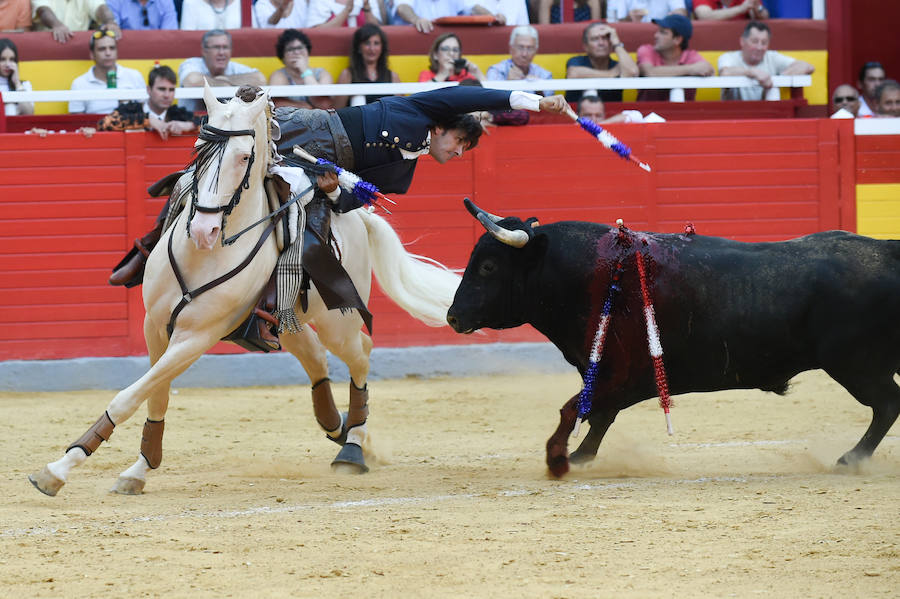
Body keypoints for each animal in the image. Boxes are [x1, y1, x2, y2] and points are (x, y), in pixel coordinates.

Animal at [31, 84, 460, 496]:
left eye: (243, 157)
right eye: (198, 149)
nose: (204, 230)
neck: (203, 256)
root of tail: (359, 219)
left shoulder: (196, 336)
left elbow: (132, 395)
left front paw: (57, 470)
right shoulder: (154, 327)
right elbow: (156, 392)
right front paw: (138, 470)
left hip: (337, 318)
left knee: (360, 354)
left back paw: (353, 445)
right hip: (288, 317)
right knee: (316, 358)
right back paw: (338, 427)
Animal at [450, 202, 900, 478]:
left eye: (488, 266)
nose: (453, 316)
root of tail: (887, 250)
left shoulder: (618, 373)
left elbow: (576, 410)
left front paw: (559, 459)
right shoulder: (610, 376)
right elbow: (595, 415)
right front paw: (579, 457)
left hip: (855, 365)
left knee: (887, 404)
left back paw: (849, 459)